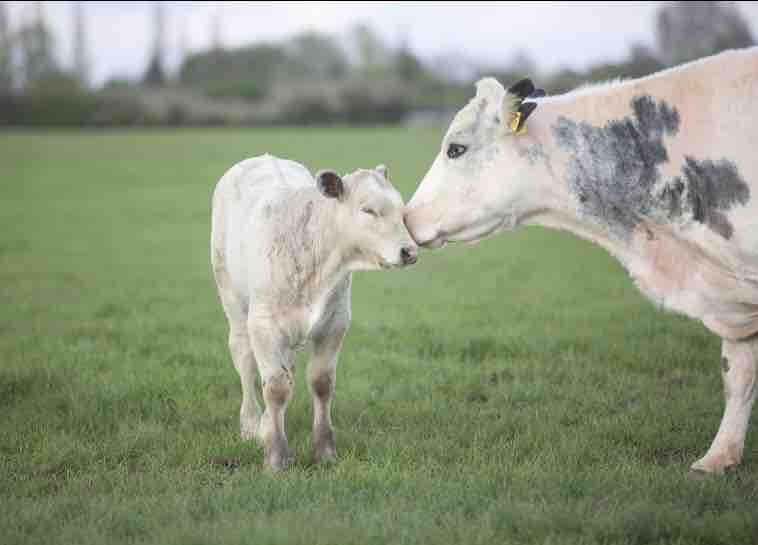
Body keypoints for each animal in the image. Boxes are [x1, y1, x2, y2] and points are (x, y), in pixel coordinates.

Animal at [211, 155, 418, 470]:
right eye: (368, 209)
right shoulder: (263, 325)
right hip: (233, 303)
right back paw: (251, 425)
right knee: (245, 361)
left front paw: (324, 451)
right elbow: (275, 387)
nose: (409, 251)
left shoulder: (335, 323)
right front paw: (276, 456)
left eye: (400, 208)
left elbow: (320, 383)